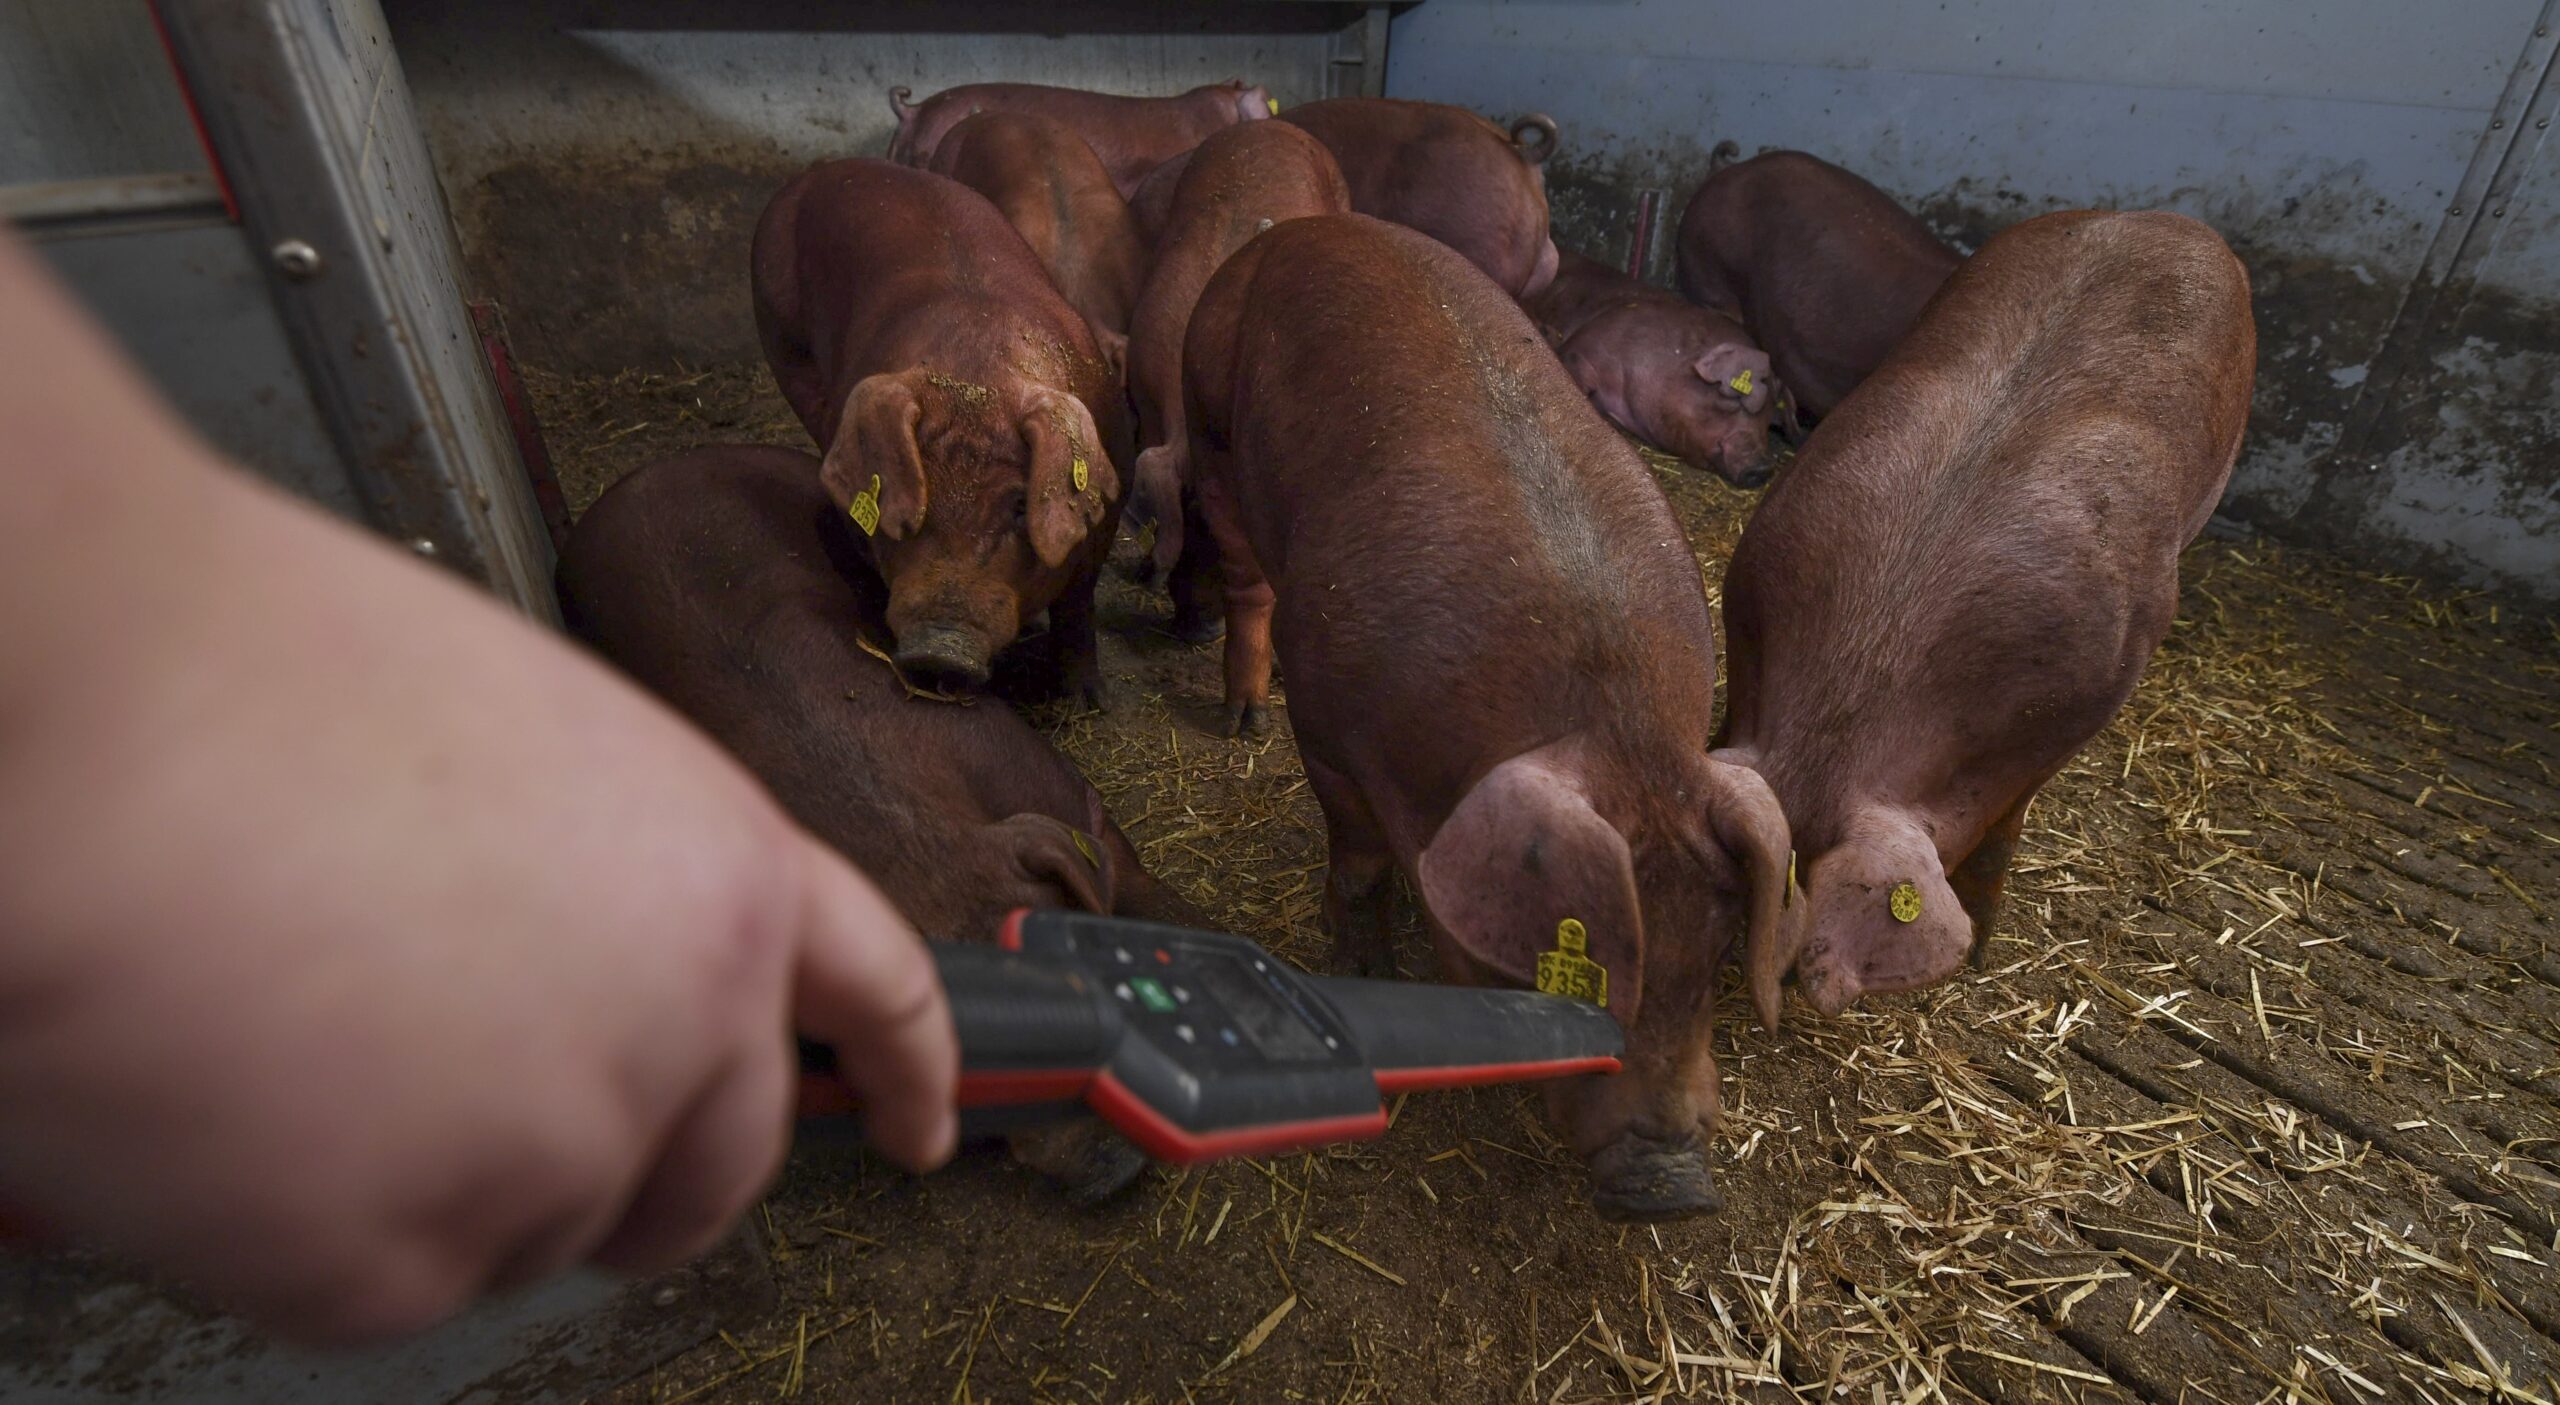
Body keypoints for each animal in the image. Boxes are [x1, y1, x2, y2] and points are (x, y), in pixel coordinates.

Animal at [753, 159, 1125, 704]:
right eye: (916, 501)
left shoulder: (1108, 507)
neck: (977, 367)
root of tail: (824, 169)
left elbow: (1079, 604)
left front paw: (1089, 700)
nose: (941, 650)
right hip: (783, 339)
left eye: (1020, 506)